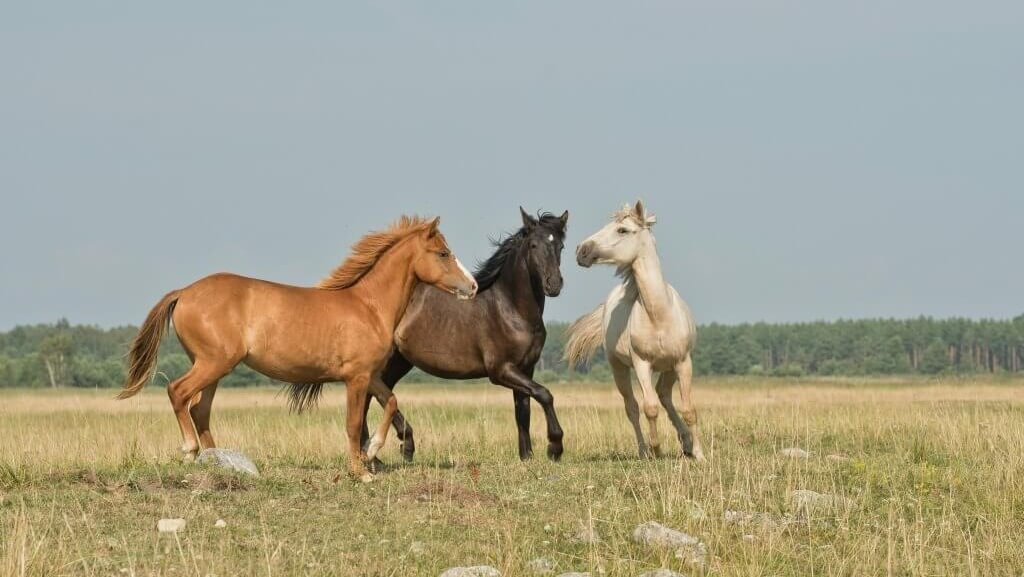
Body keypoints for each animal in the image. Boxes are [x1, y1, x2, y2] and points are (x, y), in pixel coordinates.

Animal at [117, 216, 478, 482]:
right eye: (443, 253)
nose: (472, 286)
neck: (369, 306)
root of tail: (185, 292)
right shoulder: (356, 378)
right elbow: (352, 423)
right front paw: (360, 471)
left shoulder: (370, 375)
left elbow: (391, 402)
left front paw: (372, 451)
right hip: (212, 363)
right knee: (178, 392)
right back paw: (191, 451)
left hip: (213, 368)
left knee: (199, 409)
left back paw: (219, 461)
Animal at [360, 208, 569, 463]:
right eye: (533, 245)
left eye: (560, 246)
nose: (554, 284)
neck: (510, 309)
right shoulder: (501, 370)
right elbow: (544, 394)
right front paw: (554, 447)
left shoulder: (525, 368)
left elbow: (523, 410)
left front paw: (526, 456)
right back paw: (390, 448)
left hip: (399, 361)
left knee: (376, 393)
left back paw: (379, 452)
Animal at [565, 201, 704, 461]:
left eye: (622, 230)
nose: (581, 250)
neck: (659, 315)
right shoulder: (642, 364)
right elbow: (649, 408)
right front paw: (656, 449)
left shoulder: (683, 362)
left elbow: (689, 409)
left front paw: (699, 454)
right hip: (618, 368)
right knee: (633, 407)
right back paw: (643, 451)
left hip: (669, 368)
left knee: (664, 395)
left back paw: (686, 443)